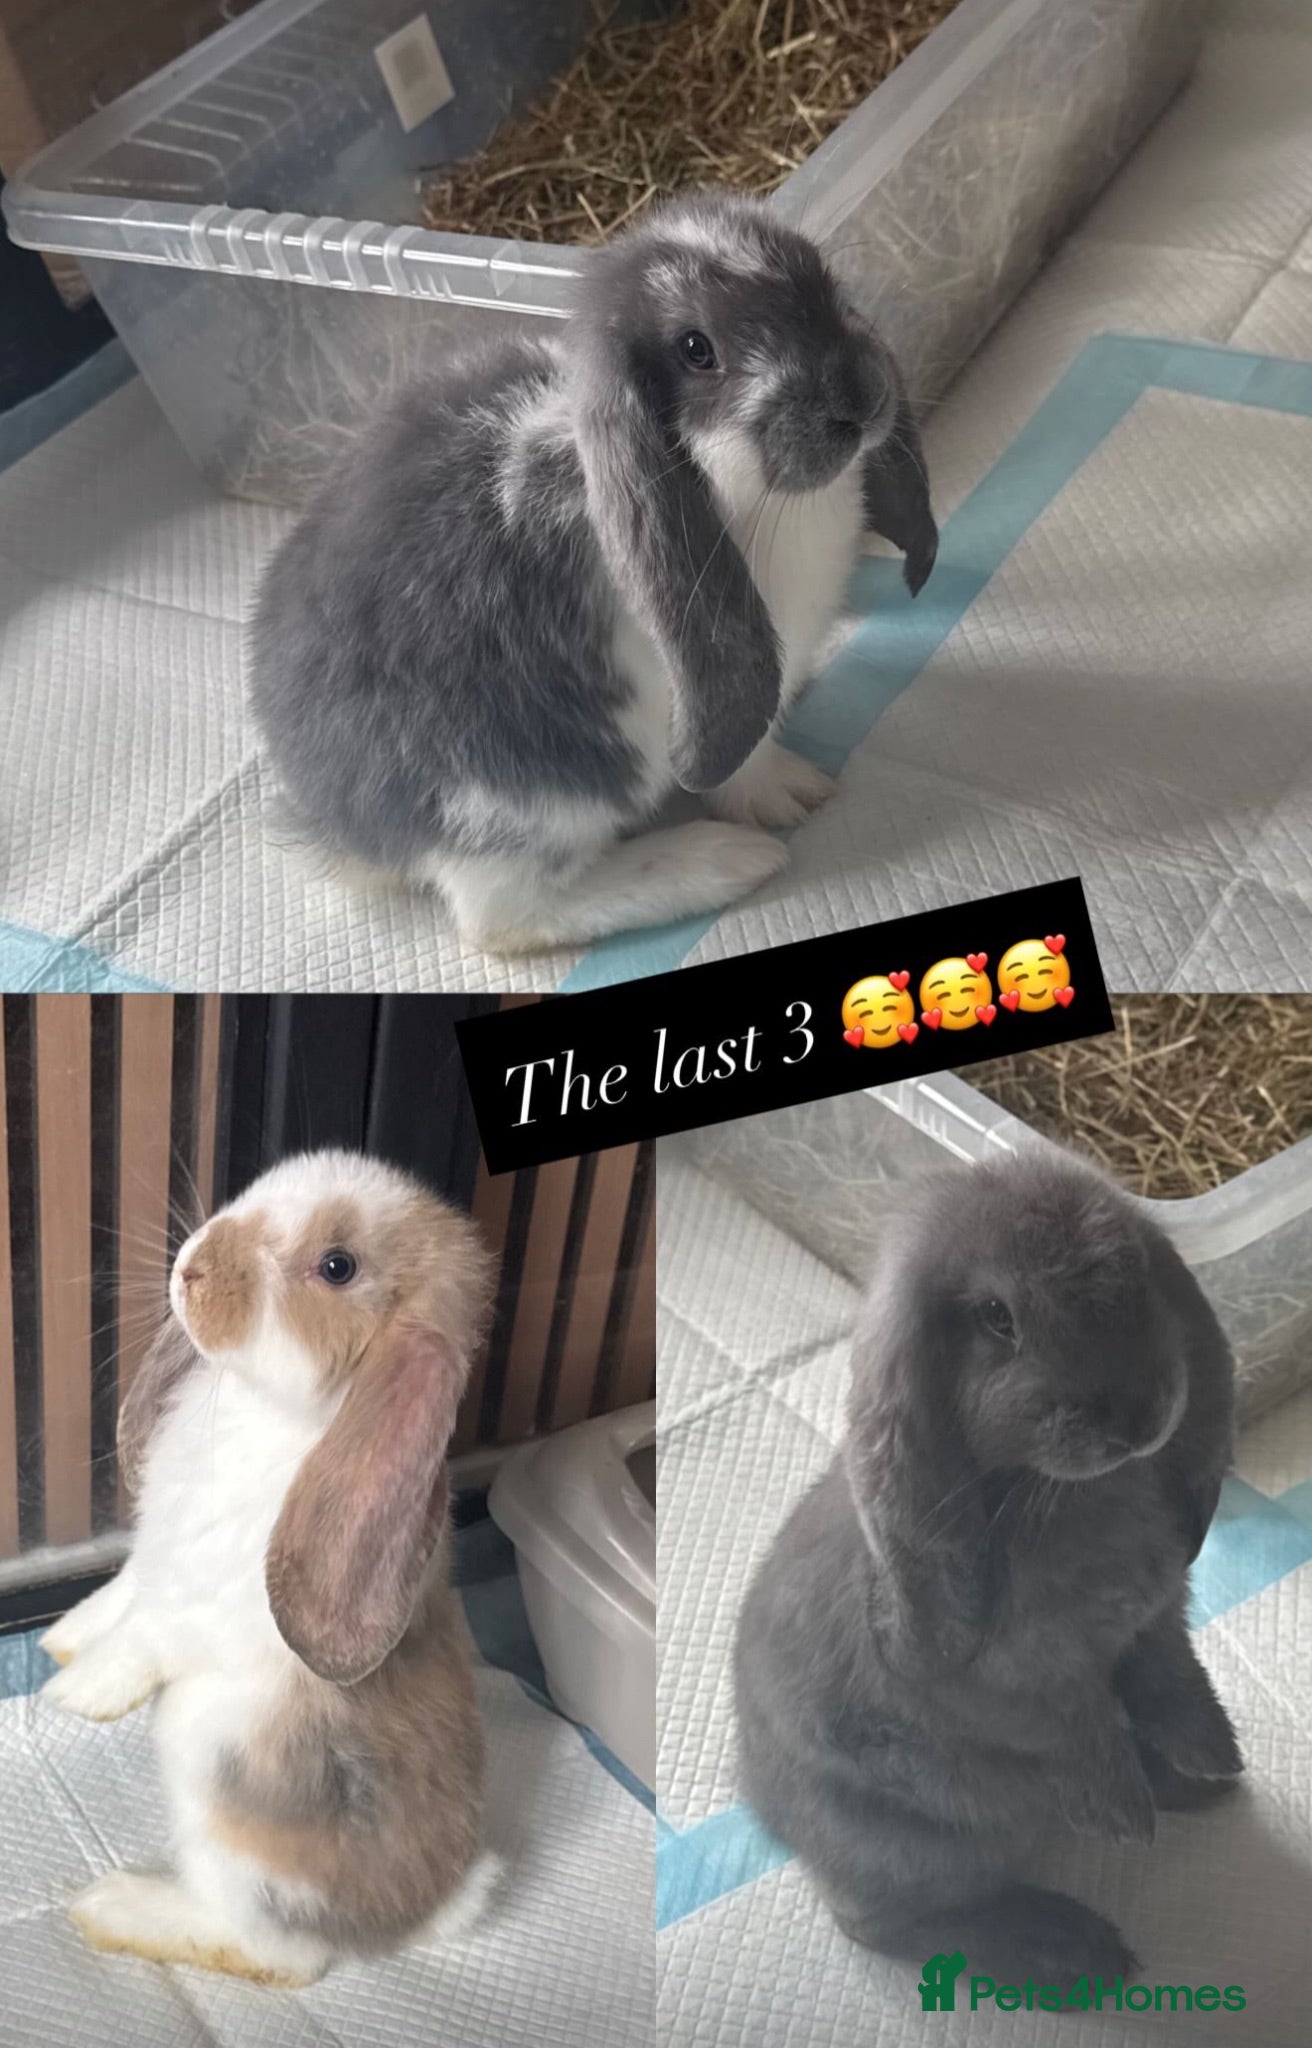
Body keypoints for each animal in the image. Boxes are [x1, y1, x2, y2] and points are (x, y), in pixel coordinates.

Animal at [40, 1149, 496, 1987]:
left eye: (338, 1266)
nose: (190, 1267)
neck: (259, 1410)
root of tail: (424, 1915)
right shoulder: (155, 1555)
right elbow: (121, 1595)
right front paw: (63, 1640)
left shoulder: (200, 1604)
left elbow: (144, 1640)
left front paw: (75, 1695)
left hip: (224, 1807)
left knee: (279, 1955)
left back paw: (116, 1908)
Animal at [249, 189, 937, 955]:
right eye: (696, 350)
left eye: (818, 274)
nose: (860, 397)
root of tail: (341, 822)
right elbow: (745, 756)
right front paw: (792, 795)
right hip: (523, 807)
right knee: (505, 920)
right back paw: (722, 862)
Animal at [734, 1149, 1242, 1990]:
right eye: (996, 1317)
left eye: (1136, 1275)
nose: (1136, 1417)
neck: (1066, 1494)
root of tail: (769, 1814)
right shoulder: (1016, 1694)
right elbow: (1079, 1732)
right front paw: (1124, 1819)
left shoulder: (1159, 1624)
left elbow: (1172, 1681)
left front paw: (1214, 1754)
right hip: (918, 1852)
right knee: (884, 1926)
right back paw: (1068, 1949)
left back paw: (1196, 1792)